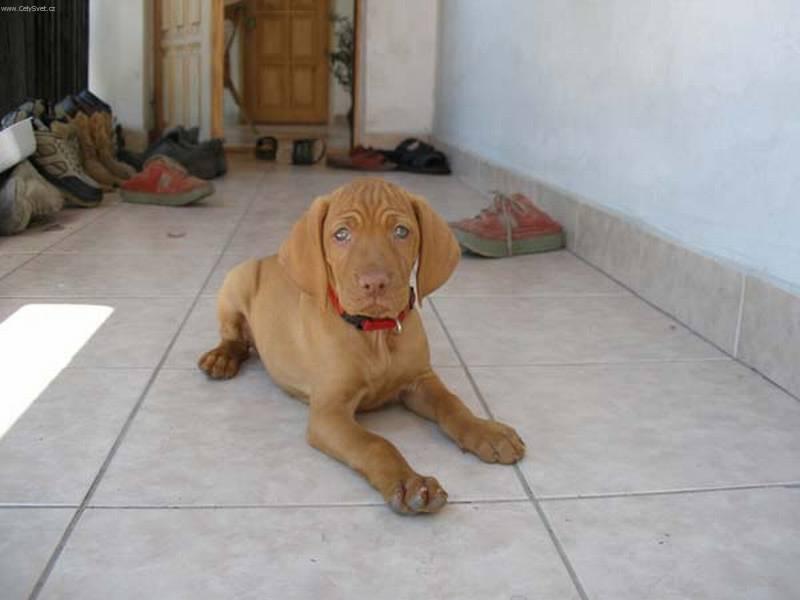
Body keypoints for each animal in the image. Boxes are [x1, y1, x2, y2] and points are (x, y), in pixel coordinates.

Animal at [198, 178, 524, 516]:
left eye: (401, 231)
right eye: (341, 234)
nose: (375, 283)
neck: (375, 333)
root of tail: (268, 257)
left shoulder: (420, 380)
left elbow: (452, 404)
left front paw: (486, 431)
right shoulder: (329, 412)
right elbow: (375, 443)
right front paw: (409, 483)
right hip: (238, 278)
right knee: (235, 337)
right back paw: (222, 357)